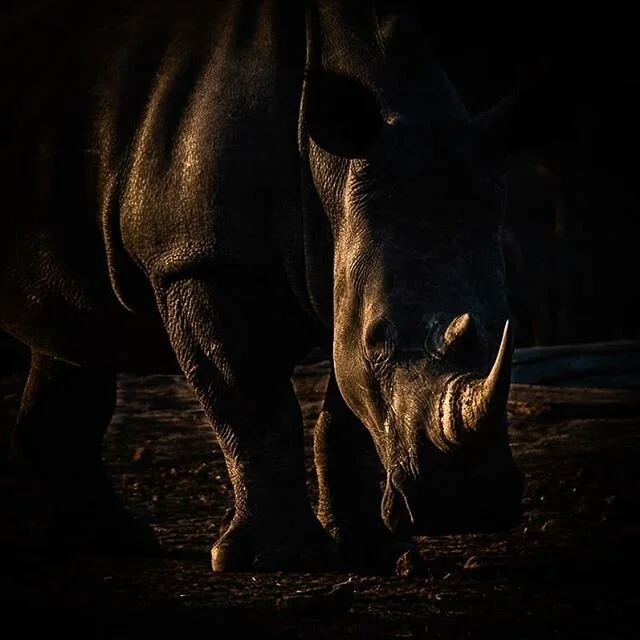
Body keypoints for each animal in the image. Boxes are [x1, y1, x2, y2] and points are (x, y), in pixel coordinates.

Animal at [0, 0, 530, 572]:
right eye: (379, 338)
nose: (468, 505)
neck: (331, 170)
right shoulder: (201, 259)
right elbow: (252, 399)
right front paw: (278, 558)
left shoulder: (340, 270)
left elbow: (344, 416)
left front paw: (375, 554)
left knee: (75, 331)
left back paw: (118, 542)